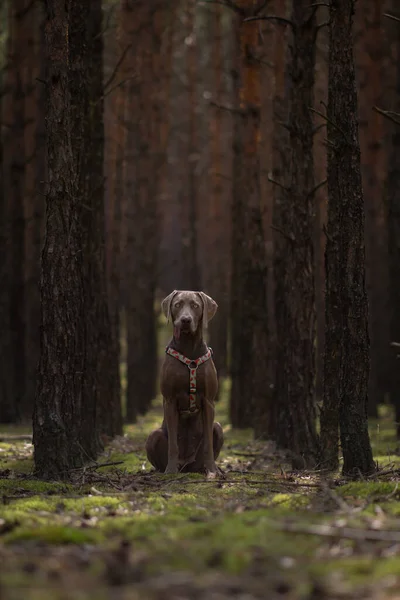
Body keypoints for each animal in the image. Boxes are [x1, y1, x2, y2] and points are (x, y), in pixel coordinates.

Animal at [145, 290, 223, 478]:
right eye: (177, 304)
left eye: (195, 305)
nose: (185, 320)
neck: (189, 347)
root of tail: (187, 465)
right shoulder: (170, 400)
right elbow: (173, 443)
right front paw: (171, 470)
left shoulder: (209, 400)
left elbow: (208, 443)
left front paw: (212, 470)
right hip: (153, 436)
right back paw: (165, 470)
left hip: (218, 428)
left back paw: (208, 468)